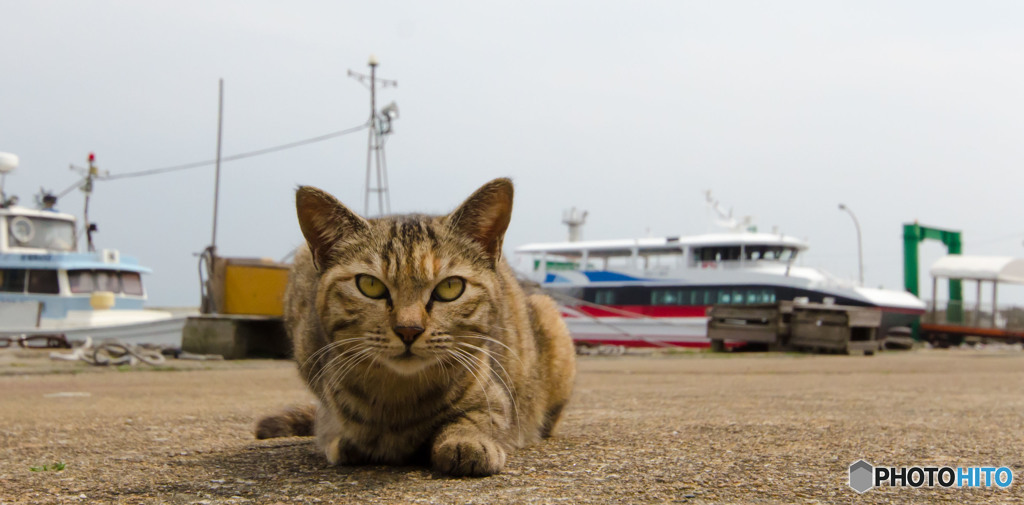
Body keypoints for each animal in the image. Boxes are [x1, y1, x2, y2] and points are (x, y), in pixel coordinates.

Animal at [256, 178, 577, 477]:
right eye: (369, 285)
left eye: (450, 287)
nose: (408, 330)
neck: (399, 398)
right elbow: (335, 429)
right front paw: (348, 440)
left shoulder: (497, 399)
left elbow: (477, 417)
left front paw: (466, 440)